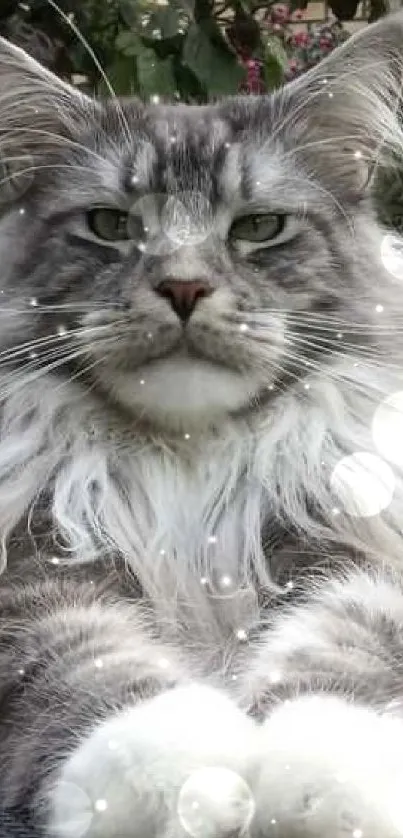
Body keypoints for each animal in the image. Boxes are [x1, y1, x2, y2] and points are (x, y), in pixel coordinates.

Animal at [0, 11, 403, 838]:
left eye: (258, 228)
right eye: (110, 225)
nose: (182, 285)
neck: (189, 465)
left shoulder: (348, 534)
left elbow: (344, 647)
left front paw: (325, 783)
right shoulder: (35, 560)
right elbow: (87, 667)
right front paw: (194, 779)